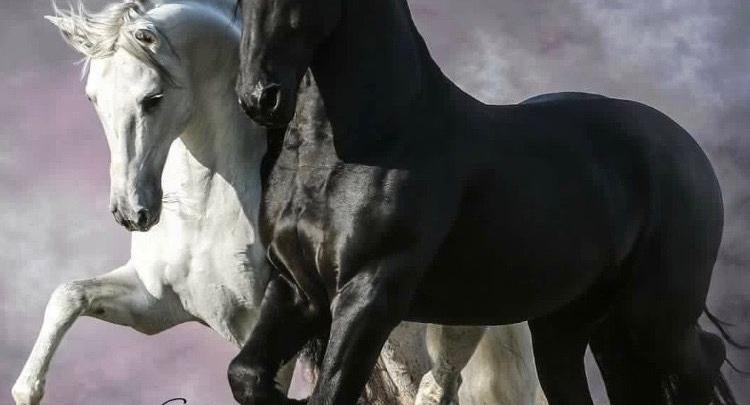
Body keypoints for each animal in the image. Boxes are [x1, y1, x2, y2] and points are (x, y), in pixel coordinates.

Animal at [12, 1, 544, 405]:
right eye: (92, 98)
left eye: (152, 98)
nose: (132, 212)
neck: (205, 209)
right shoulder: (158, 304)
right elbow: (68, 294)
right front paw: (29, 390)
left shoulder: (262, 327)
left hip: (432, 335)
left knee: (435, 387)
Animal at [230, 0, 736, 403]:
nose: (261, 98)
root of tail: (688, 151)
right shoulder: (298, 290)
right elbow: (245, 375)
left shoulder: (369, 294)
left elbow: (330, 392)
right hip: (579, 327)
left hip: (656, 320)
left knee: (703, 363)